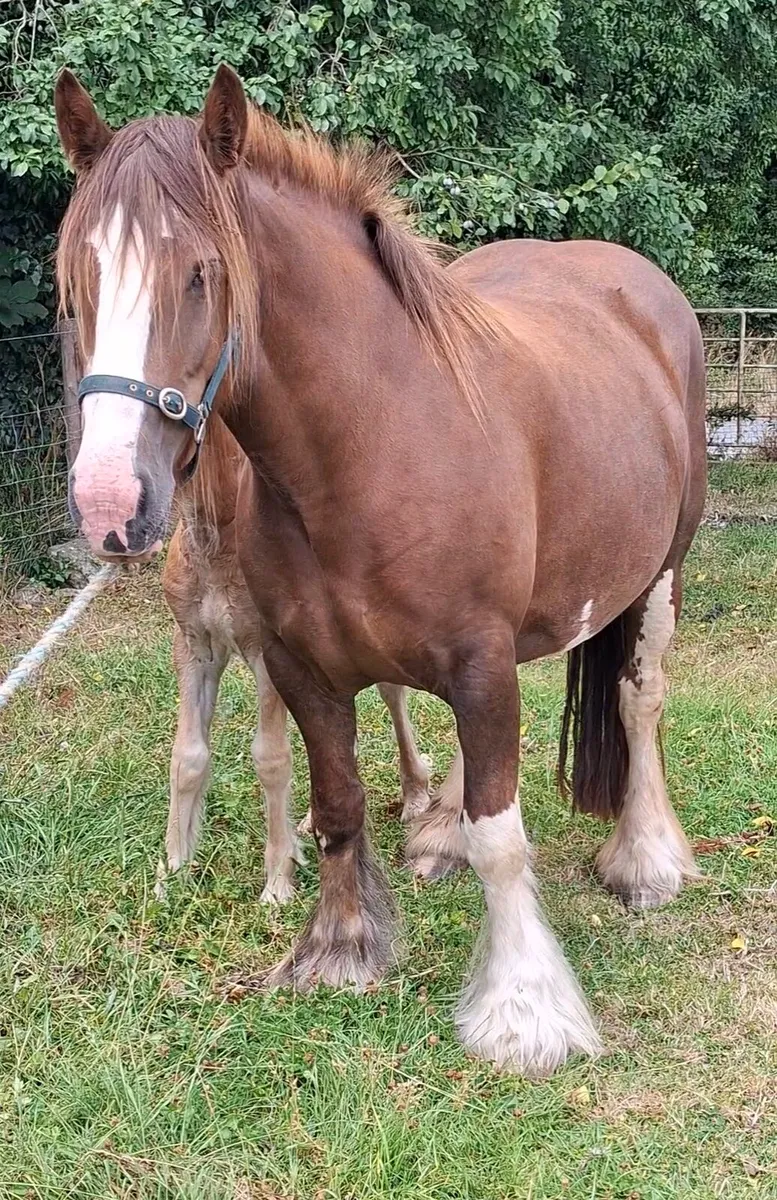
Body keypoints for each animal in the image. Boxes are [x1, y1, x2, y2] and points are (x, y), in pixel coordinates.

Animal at [158, 412, 436, 902]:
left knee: (393, 695)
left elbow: (271, 758)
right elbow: (187, 756)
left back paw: (416, 795)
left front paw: (277, 881)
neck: (217, 538)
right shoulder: (194, 647)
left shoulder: (268, 654)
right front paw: (172, 870)